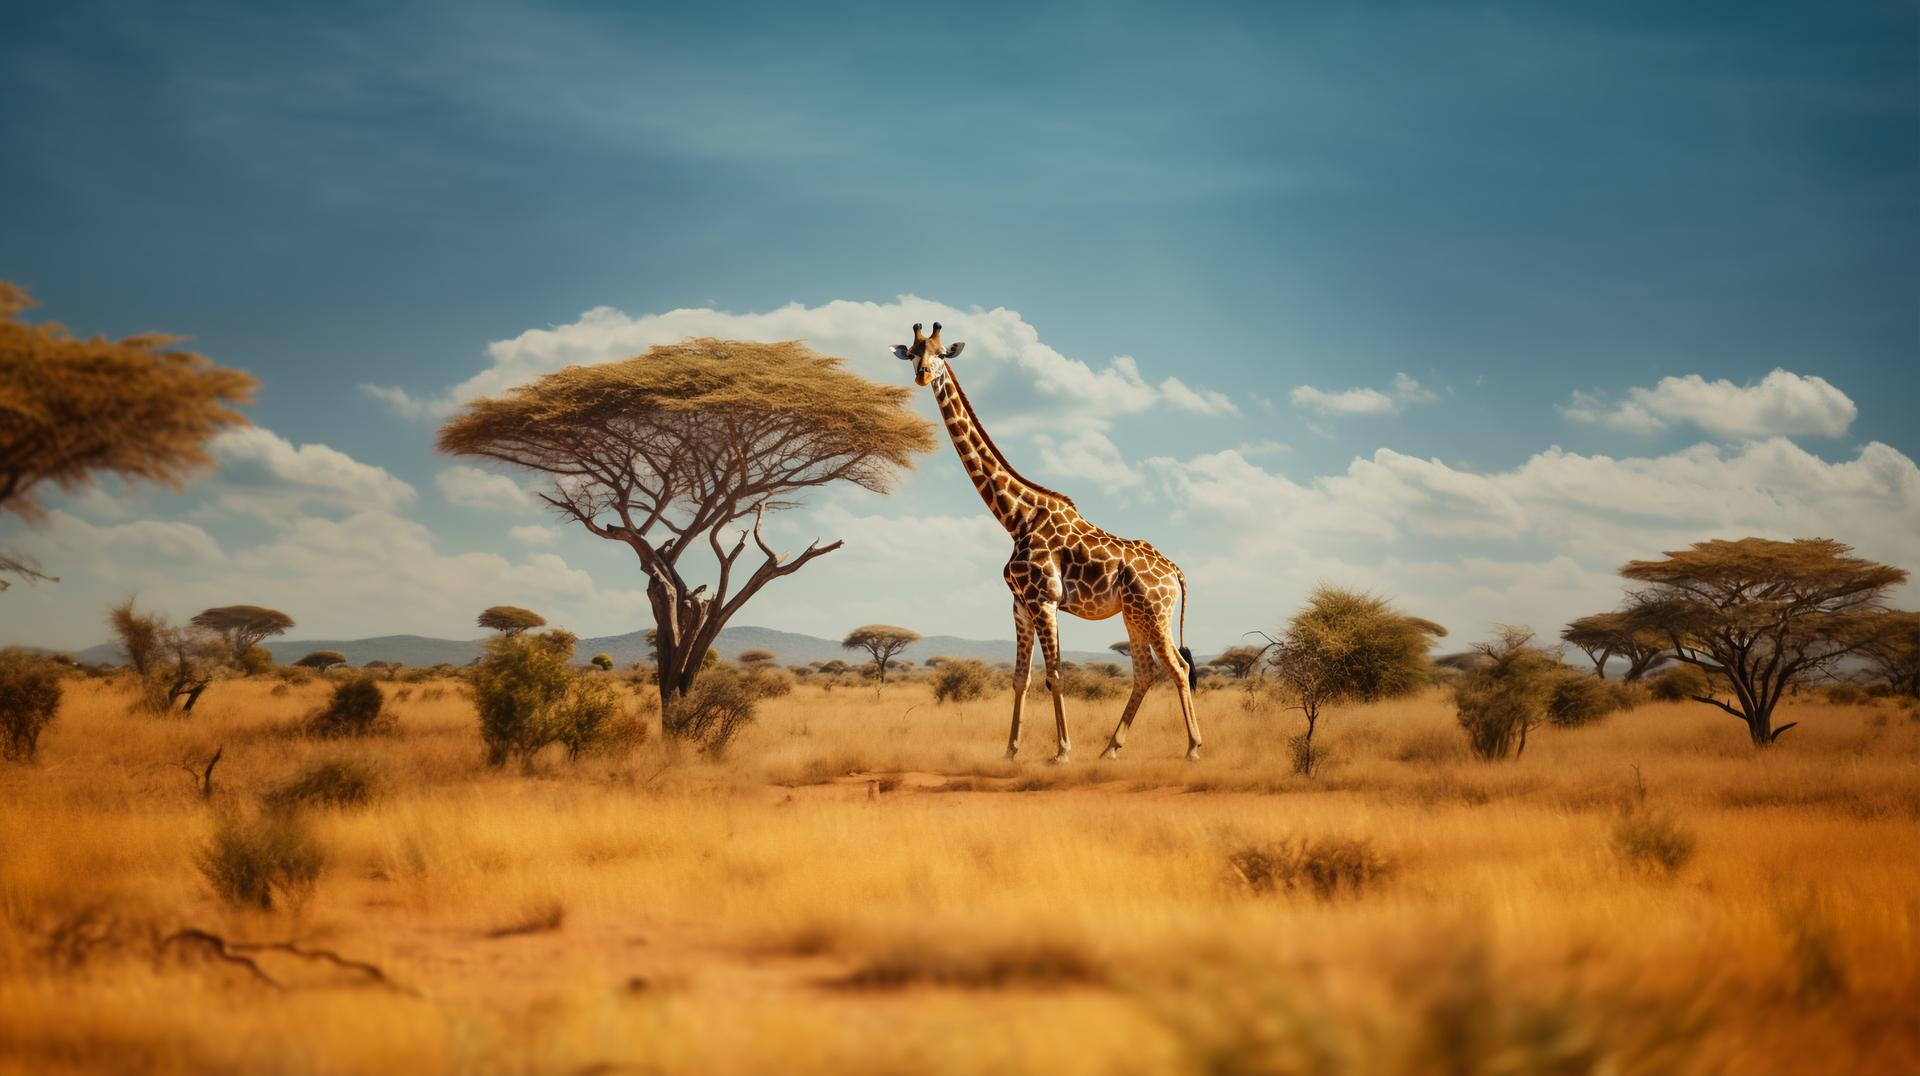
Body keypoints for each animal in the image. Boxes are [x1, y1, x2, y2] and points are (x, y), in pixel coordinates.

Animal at [893, 322, 1202, 763]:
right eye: (915, 353)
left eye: (940, 355)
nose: (921, 376)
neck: (1015, 517)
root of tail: (1175, 571)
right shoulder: (1020, 604)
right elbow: (1020, 678)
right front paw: (1010, 751)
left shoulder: (1045, 600)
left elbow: (1055, 675)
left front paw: (1061, 752)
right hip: (1133, 614)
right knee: (1146, 671)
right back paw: (1110, 748)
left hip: (1154, 612)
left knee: (1178, 667)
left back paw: (1192, 748)